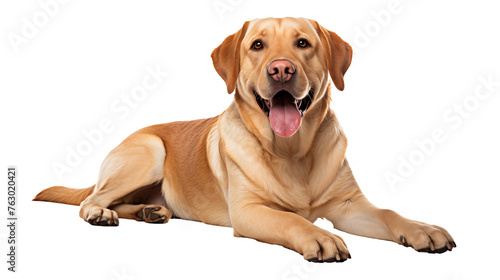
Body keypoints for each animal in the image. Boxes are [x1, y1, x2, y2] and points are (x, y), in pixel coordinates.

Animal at [34, 17, 458, 262]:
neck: (292, 151)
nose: (282, 69)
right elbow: (292, 220)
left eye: (303, 43)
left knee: (122, 201)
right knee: (92, 199)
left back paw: (149, 211)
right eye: (257, 45)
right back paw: (101, 214)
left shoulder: (348, 206)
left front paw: (422, 229)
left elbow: (388, 213)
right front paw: (318, 236)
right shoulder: (250, 211)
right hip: (148, 153)